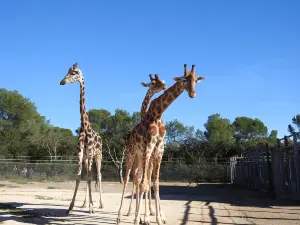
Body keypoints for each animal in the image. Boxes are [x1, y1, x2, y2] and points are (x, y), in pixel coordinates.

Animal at [59, 62, 104, 214]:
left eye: (74, 72)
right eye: (67, 72)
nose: (62, 82)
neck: (85, 127)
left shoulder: (90, 154)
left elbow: (90, 178)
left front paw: (92, 207)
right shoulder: (80, 154)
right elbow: (79, 178)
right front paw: (71, 207)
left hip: (98, 156)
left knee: (98, 176)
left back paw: (100, 204)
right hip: (86, 158)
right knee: (89, 176)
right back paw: (85, 203)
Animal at [116, 73, 166, 223]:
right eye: (152, 83)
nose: (164, 86)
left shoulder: (147, 158)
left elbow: (147, 182)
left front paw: (148, 215)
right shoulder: (143, 156)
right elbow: (142, 182)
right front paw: (142, 215)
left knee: (143, 181)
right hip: (135, 159)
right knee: (135, 180)